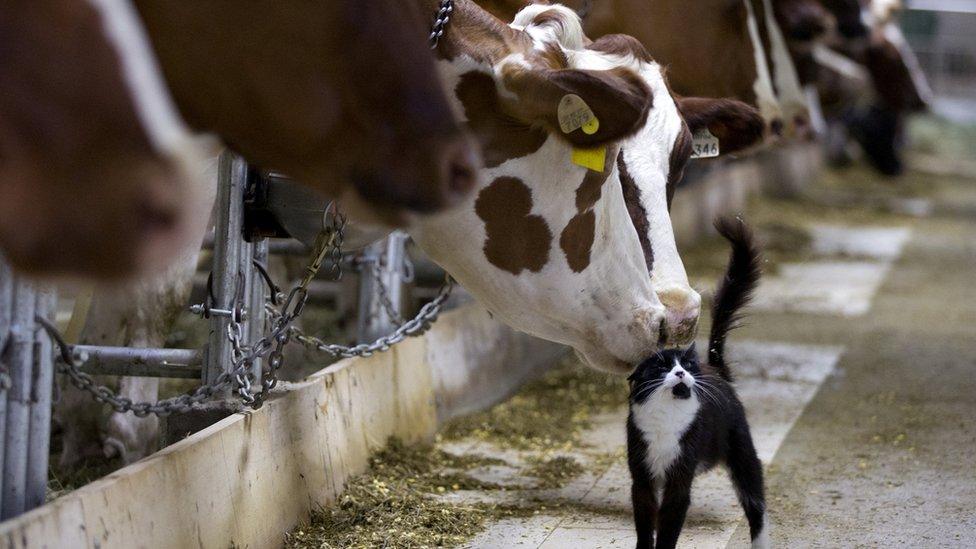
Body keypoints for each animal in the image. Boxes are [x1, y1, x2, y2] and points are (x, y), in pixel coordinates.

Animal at [624, 217, 772, 548]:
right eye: (661, 366)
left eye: (686, 365)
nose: (681, 372)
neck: (666, 418)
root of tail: (716, 369)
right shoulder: (642, 476)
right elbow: (645, 523)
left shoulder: (680, 479)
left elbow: (669, 526)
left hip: (743, 453)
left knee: (756, 503)